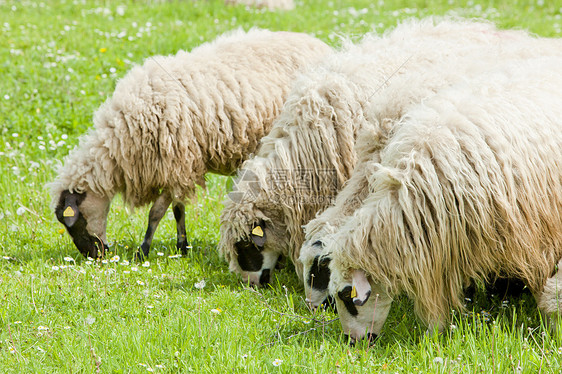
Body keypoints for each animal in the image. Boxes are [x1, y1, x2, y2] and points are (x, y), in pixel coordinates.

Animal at [50, 29, 330, 258]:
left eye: (73, 221)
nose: (94, 256)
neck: (120, 141)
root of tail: (318, 43)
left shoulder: (175, 163)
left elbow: (156, 213)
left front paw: (144, 250)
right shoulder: (180, 166)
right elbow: (178, 209)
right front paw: (182, 246)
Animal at [326, 57, 562, 344]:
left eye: (345, 296)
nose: (353, 342)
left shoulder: (535, 236)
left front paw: (549, 323)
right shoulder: (441, 246)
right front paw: (434, 336)